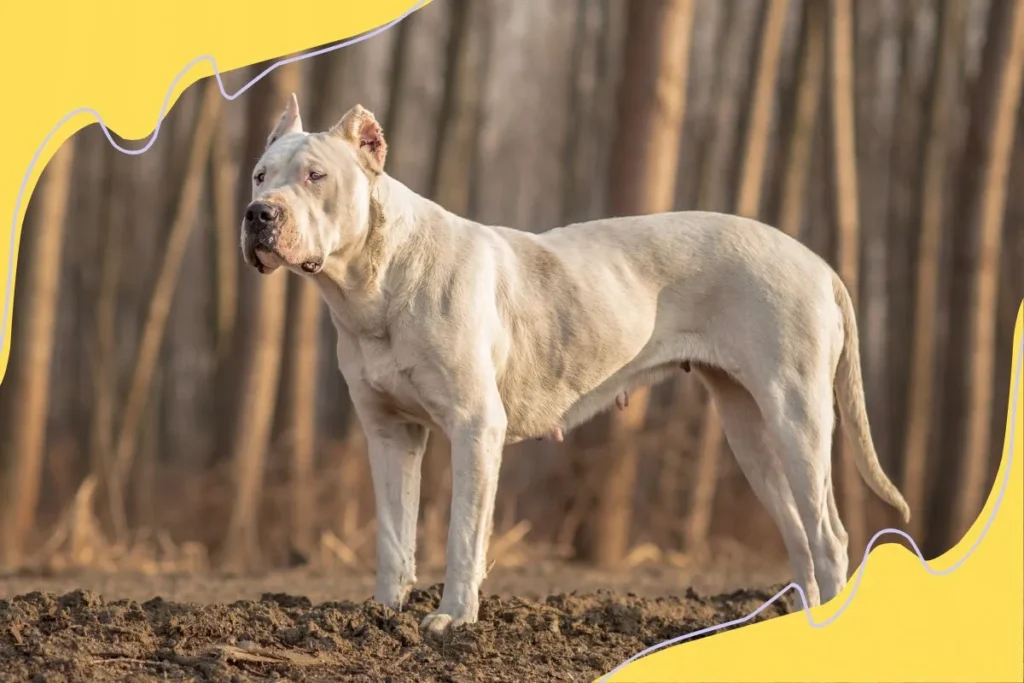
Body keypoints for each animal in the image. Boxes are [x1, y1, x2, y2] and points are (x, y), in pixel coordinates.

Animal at [241, 93, 913, 634]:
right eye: (258, 176)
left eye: (316, 176)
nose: (258, 214)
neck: (373, 282)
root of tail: (818, 264)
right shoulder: (389, 432)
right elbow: (391, 535)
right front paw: (382, 614)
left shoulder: (475, 428)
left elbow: (463, 535)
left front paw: (451, 619)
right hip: (750, 428)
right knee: (799, 532)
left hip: (796, 415)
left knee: (829, 536)